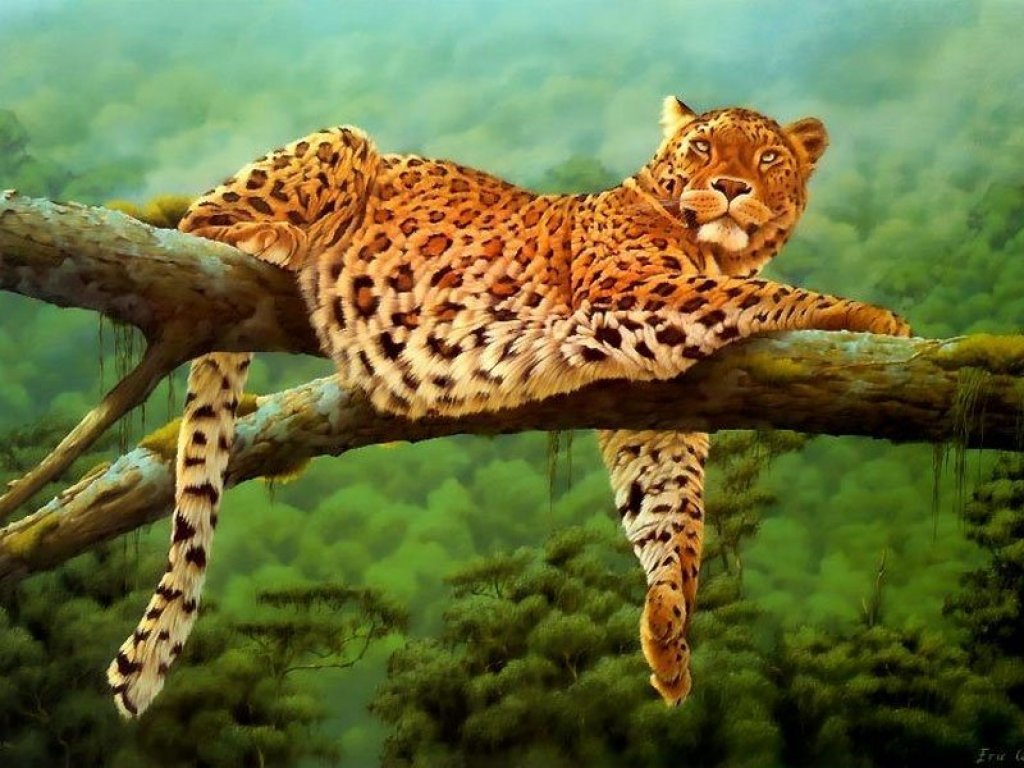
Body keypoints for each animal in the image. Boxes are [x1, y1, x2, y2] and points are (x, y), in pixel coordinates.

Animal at [107, 95, 911, 717]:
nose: (732, 185)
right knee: (197, 221)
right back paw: (274, 235)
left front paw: (668, 630)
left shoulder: (653, 409)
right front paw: (875, 318)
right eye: (704, 147)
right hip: (340, 145)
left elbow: (671, 514)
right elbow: (766, 294)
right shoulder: (634, 291)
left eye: (768, 159)